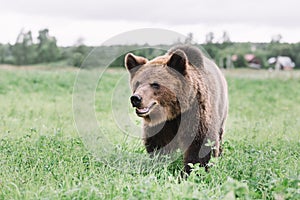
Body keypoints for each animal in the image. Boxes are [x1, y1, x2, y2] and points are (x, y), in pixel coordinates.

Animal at [124, 45, 227, 175]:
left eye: (155, 84)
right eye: (137, 83)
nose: (136, 98)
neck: (174, 112)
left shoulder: (195, 113)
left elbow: (201, 144)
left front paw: (192, 172)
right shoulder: (161, 125)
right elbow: (159, 144)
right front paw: (160, 166)